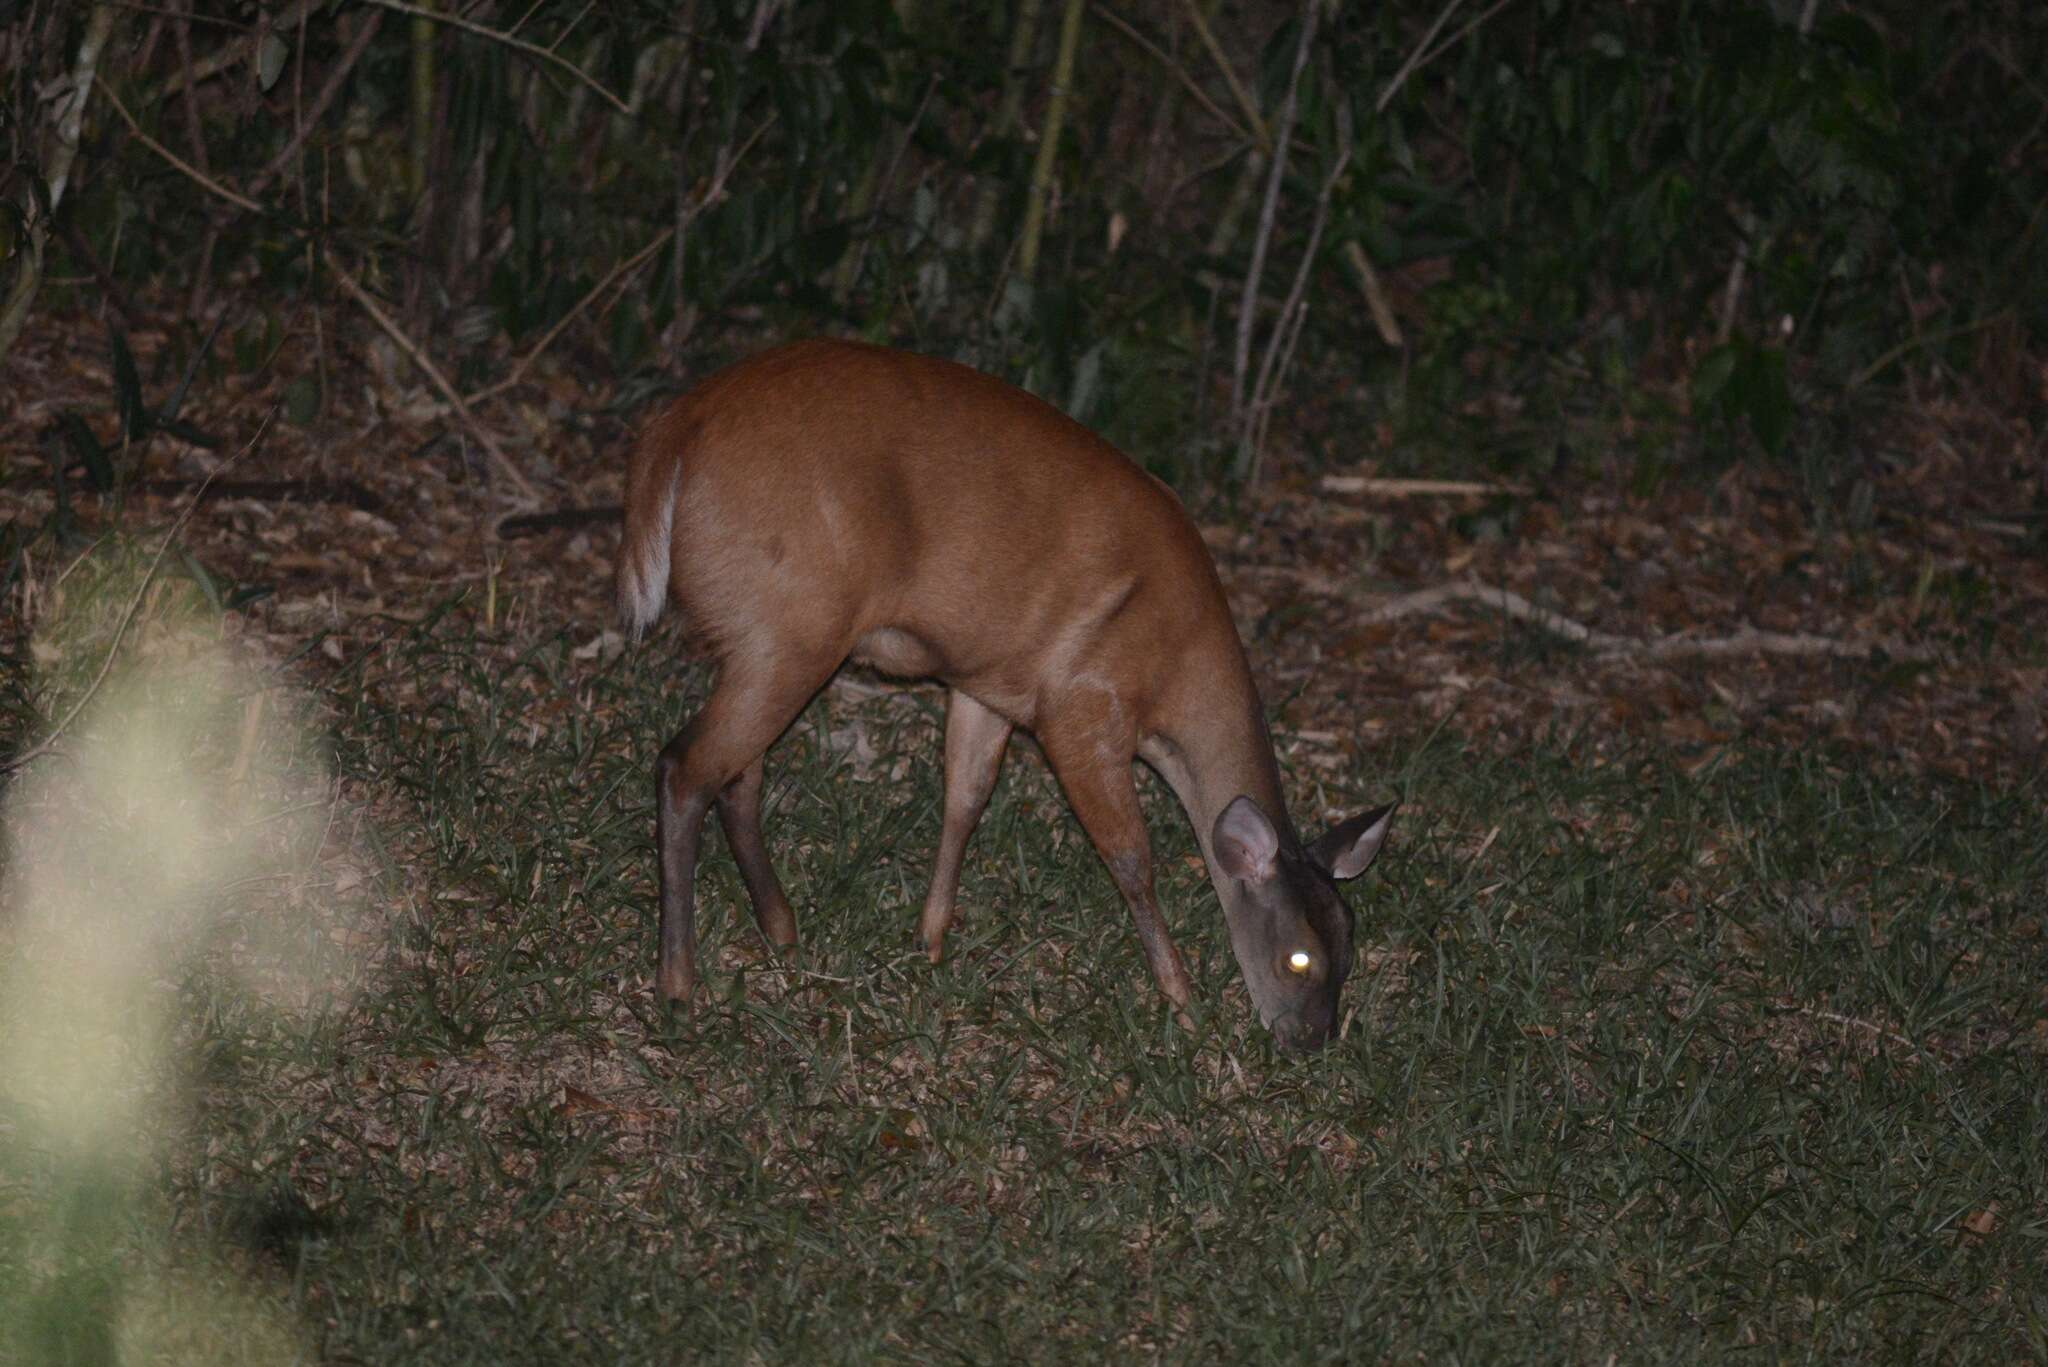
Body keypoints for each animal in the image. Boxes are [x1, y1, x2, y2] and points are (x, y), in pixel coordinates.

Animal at [614, 340, 1400, 1049]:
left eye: (1350, 943)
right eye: (1297, 957)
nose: (1312, 1041)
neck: (1176, 679)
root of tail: (671, 436)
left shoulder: (991, 685)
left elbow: (964, 799)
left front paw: (929, 942)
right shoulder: (1080, 707)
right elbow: (1131, 859)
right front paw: (1182, 1001)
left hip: (767, 636)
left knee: (737, 774)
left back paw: (781, 930)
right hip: (793, 622)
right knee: (685, 766)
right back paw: (679, 986)